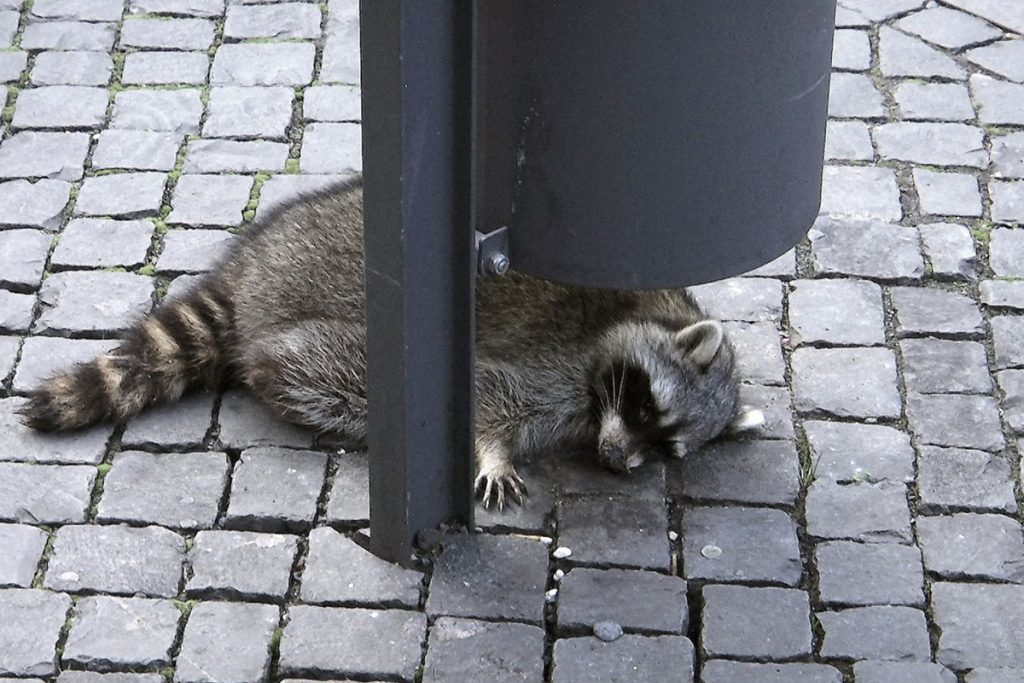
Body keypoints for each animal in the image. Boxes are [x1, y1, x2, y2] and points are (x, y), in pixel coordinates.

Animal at [19, 176, 765, 507]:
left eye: (664, 444)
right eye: (643, 406)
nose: (615, 460)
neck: (651, 312)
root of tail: (254, 265)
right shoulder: (556, 359)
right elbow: (489, 397)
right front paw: (491, 450)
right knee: (324, 370)